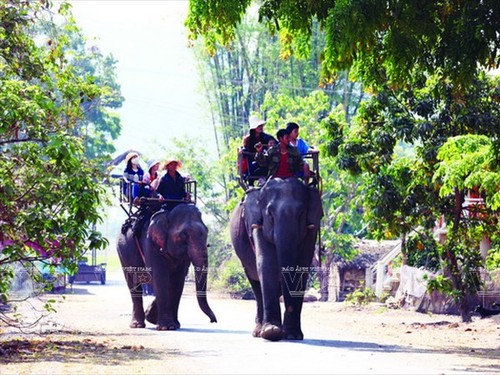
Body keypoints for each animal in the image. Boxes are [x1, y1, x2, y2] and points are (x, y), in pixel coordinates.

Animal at [229, 178, 322, 342]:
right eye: (270, 214)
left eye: (301, 214)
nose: (289, 308)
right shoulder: (257, 224)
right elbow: (267, 264)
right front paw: (271, 332)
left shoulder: (312, 228)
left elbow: (302, 265)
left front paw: (292, 335)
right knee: (255, 283)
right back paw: (259, 331)